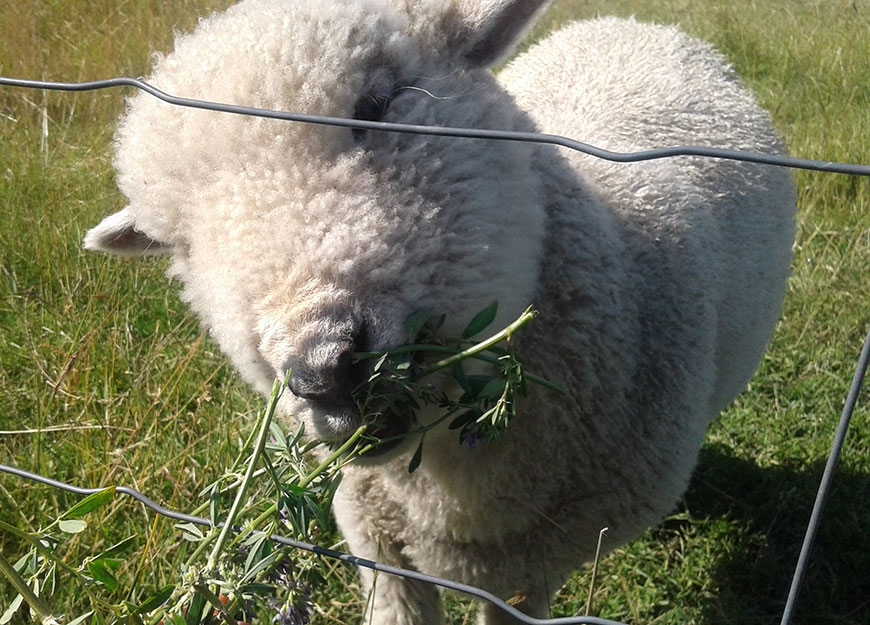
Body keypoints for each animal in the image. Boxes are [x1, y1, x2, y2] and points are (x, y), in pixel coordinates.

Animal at [85, 2, 800, 620]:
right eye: (180, 243)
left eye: (377, 105)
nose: (324, 369)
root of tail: (633, 24)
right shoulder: (372, 533)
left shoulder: (530, 569)